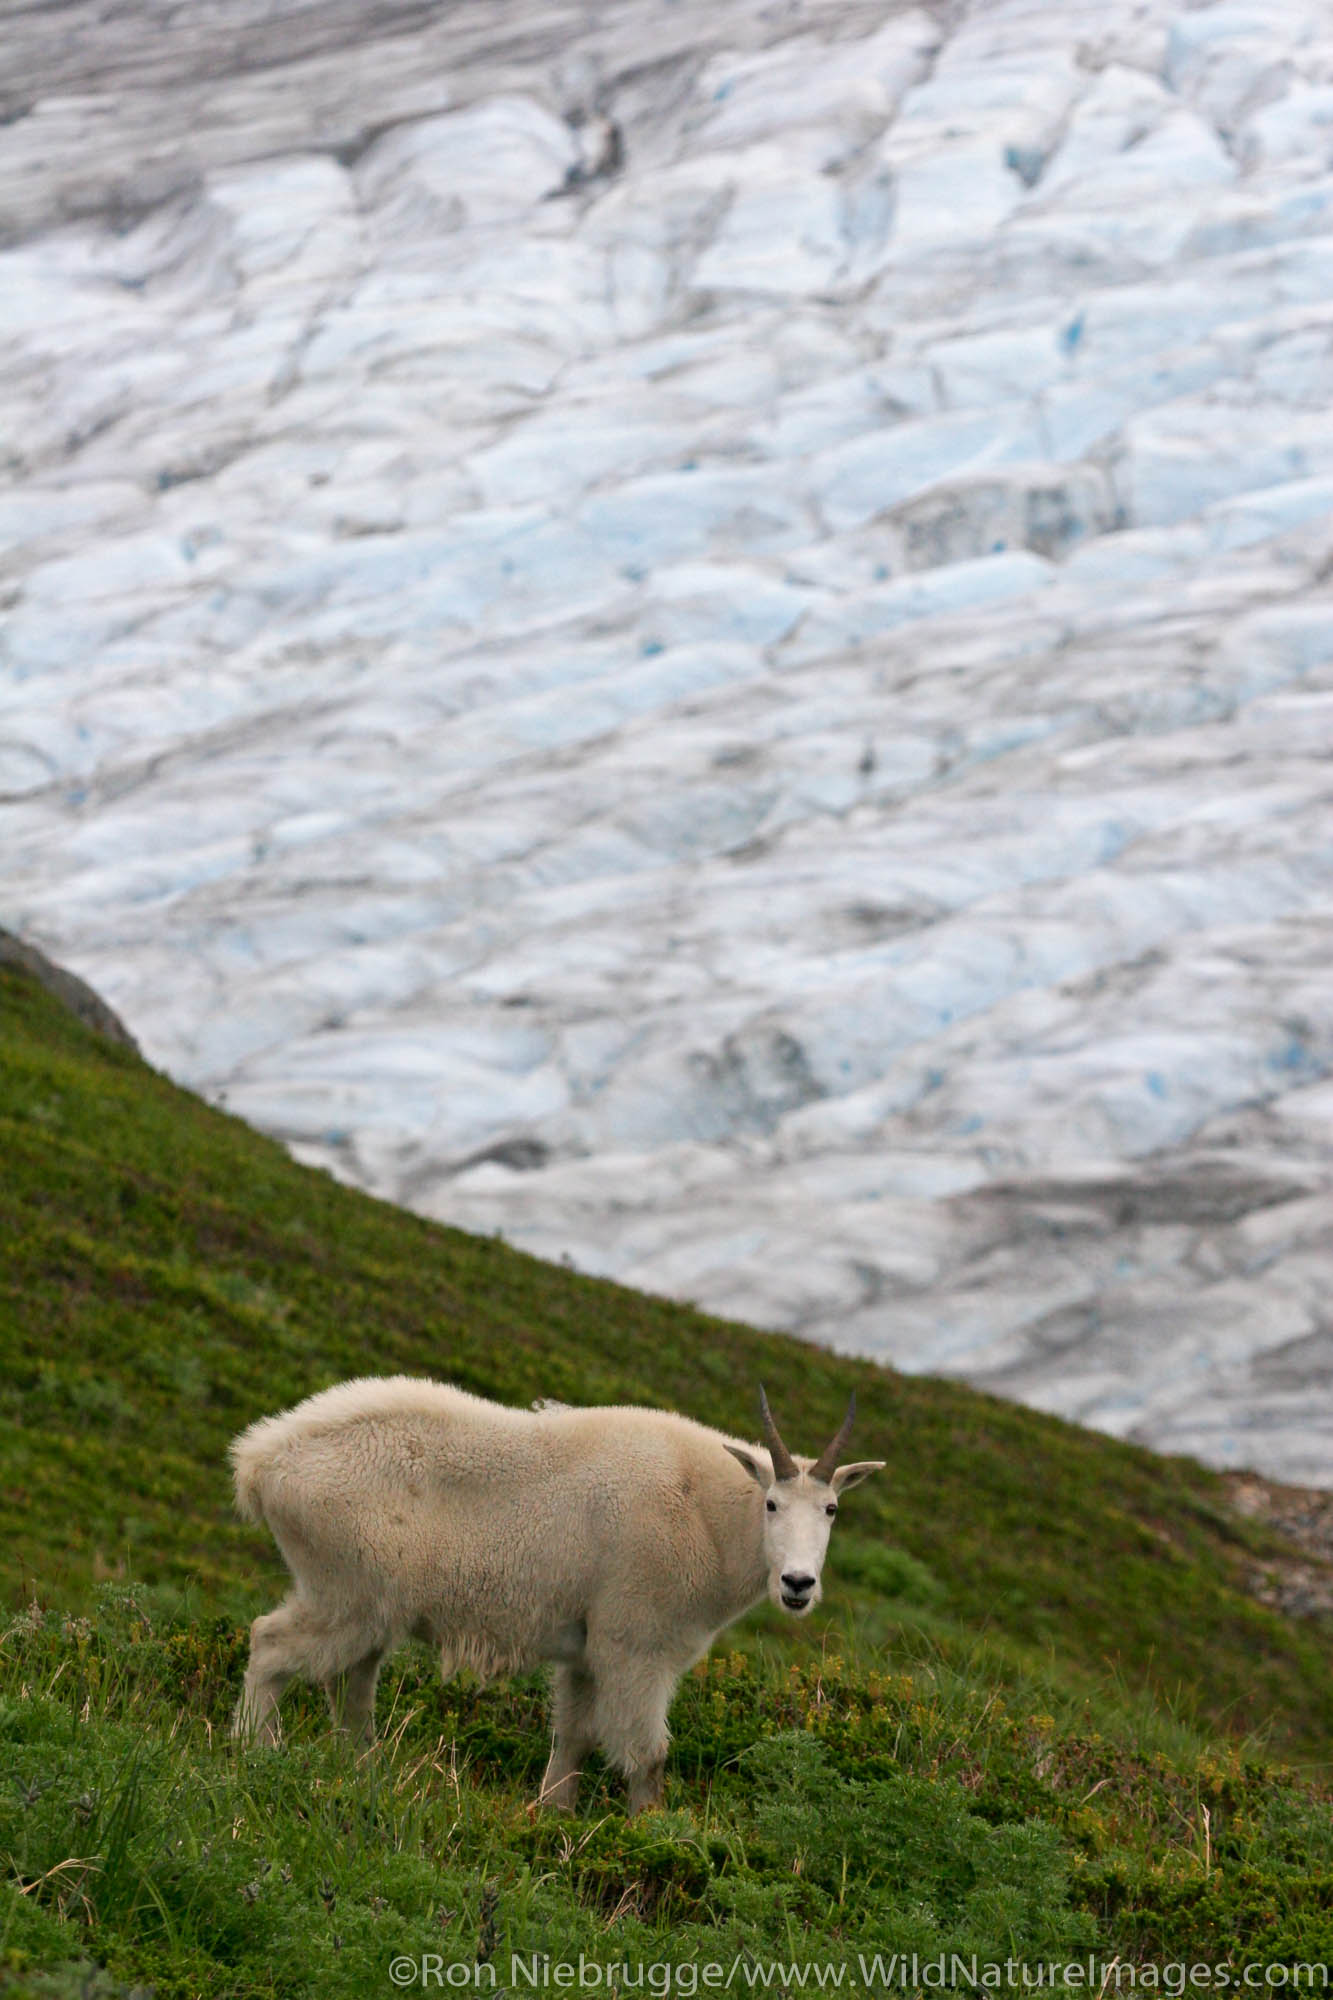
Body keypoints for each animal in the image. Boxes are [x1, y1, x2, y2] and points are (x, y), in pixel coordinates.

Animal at [230, 1376, 880, 1816]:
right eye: (771, 1504)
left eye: (831, 1509)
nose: (798, 1584)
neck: (706, 1511)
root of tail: (262, 1463)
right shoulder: (635, 1646)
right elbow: (648, 1755)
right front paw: (653, 1834)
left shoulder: (588, 1649)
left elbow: (575, 1735)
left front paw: (552, 1815)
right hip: (345, 1594)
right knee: (270, 1644)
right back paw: (255, 1752)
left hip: (369, 1606)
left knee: (352, 1684)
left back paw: (362, 1770)